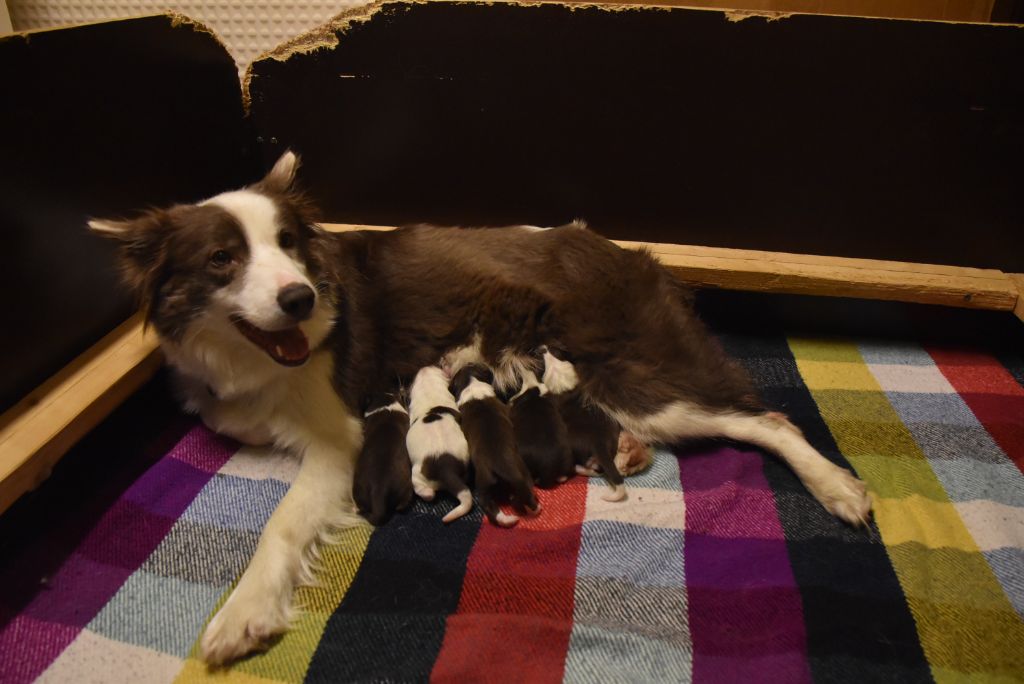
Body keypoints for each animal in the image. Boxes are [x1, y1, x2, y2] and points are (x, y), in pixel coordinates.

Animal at [405, 368, 473, 524]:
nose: (423, 368)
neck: (429, 387)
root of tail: (446, 469)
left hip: (417, 474)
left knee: (425, 491)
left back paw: (427, 494)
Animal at [450, 362, 540, 528]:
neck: (471, 382)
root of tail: (498, 466)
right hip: (521, 473)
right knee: (524, 493)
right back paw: (535, 508)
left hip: (483, 484)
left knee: (488, 505)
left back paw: (506, 518)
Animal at [540, 348, 626, 501]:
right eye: (558, 355)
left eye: (544, 371)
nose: (544, 349)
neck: (567, 386)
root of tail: (599, 442)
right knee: (597, 470)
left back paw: (574, 469)